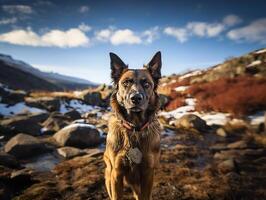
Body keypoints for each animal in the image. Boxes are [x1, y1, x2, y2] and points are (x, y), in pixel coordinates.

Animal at [104, 52, 162, 200]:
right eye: (125, 83)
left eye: (146, 83)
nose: (136, 98)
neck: (135, 128)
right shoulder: (116, 174)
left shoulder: (148, 174)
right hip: (109, 176)